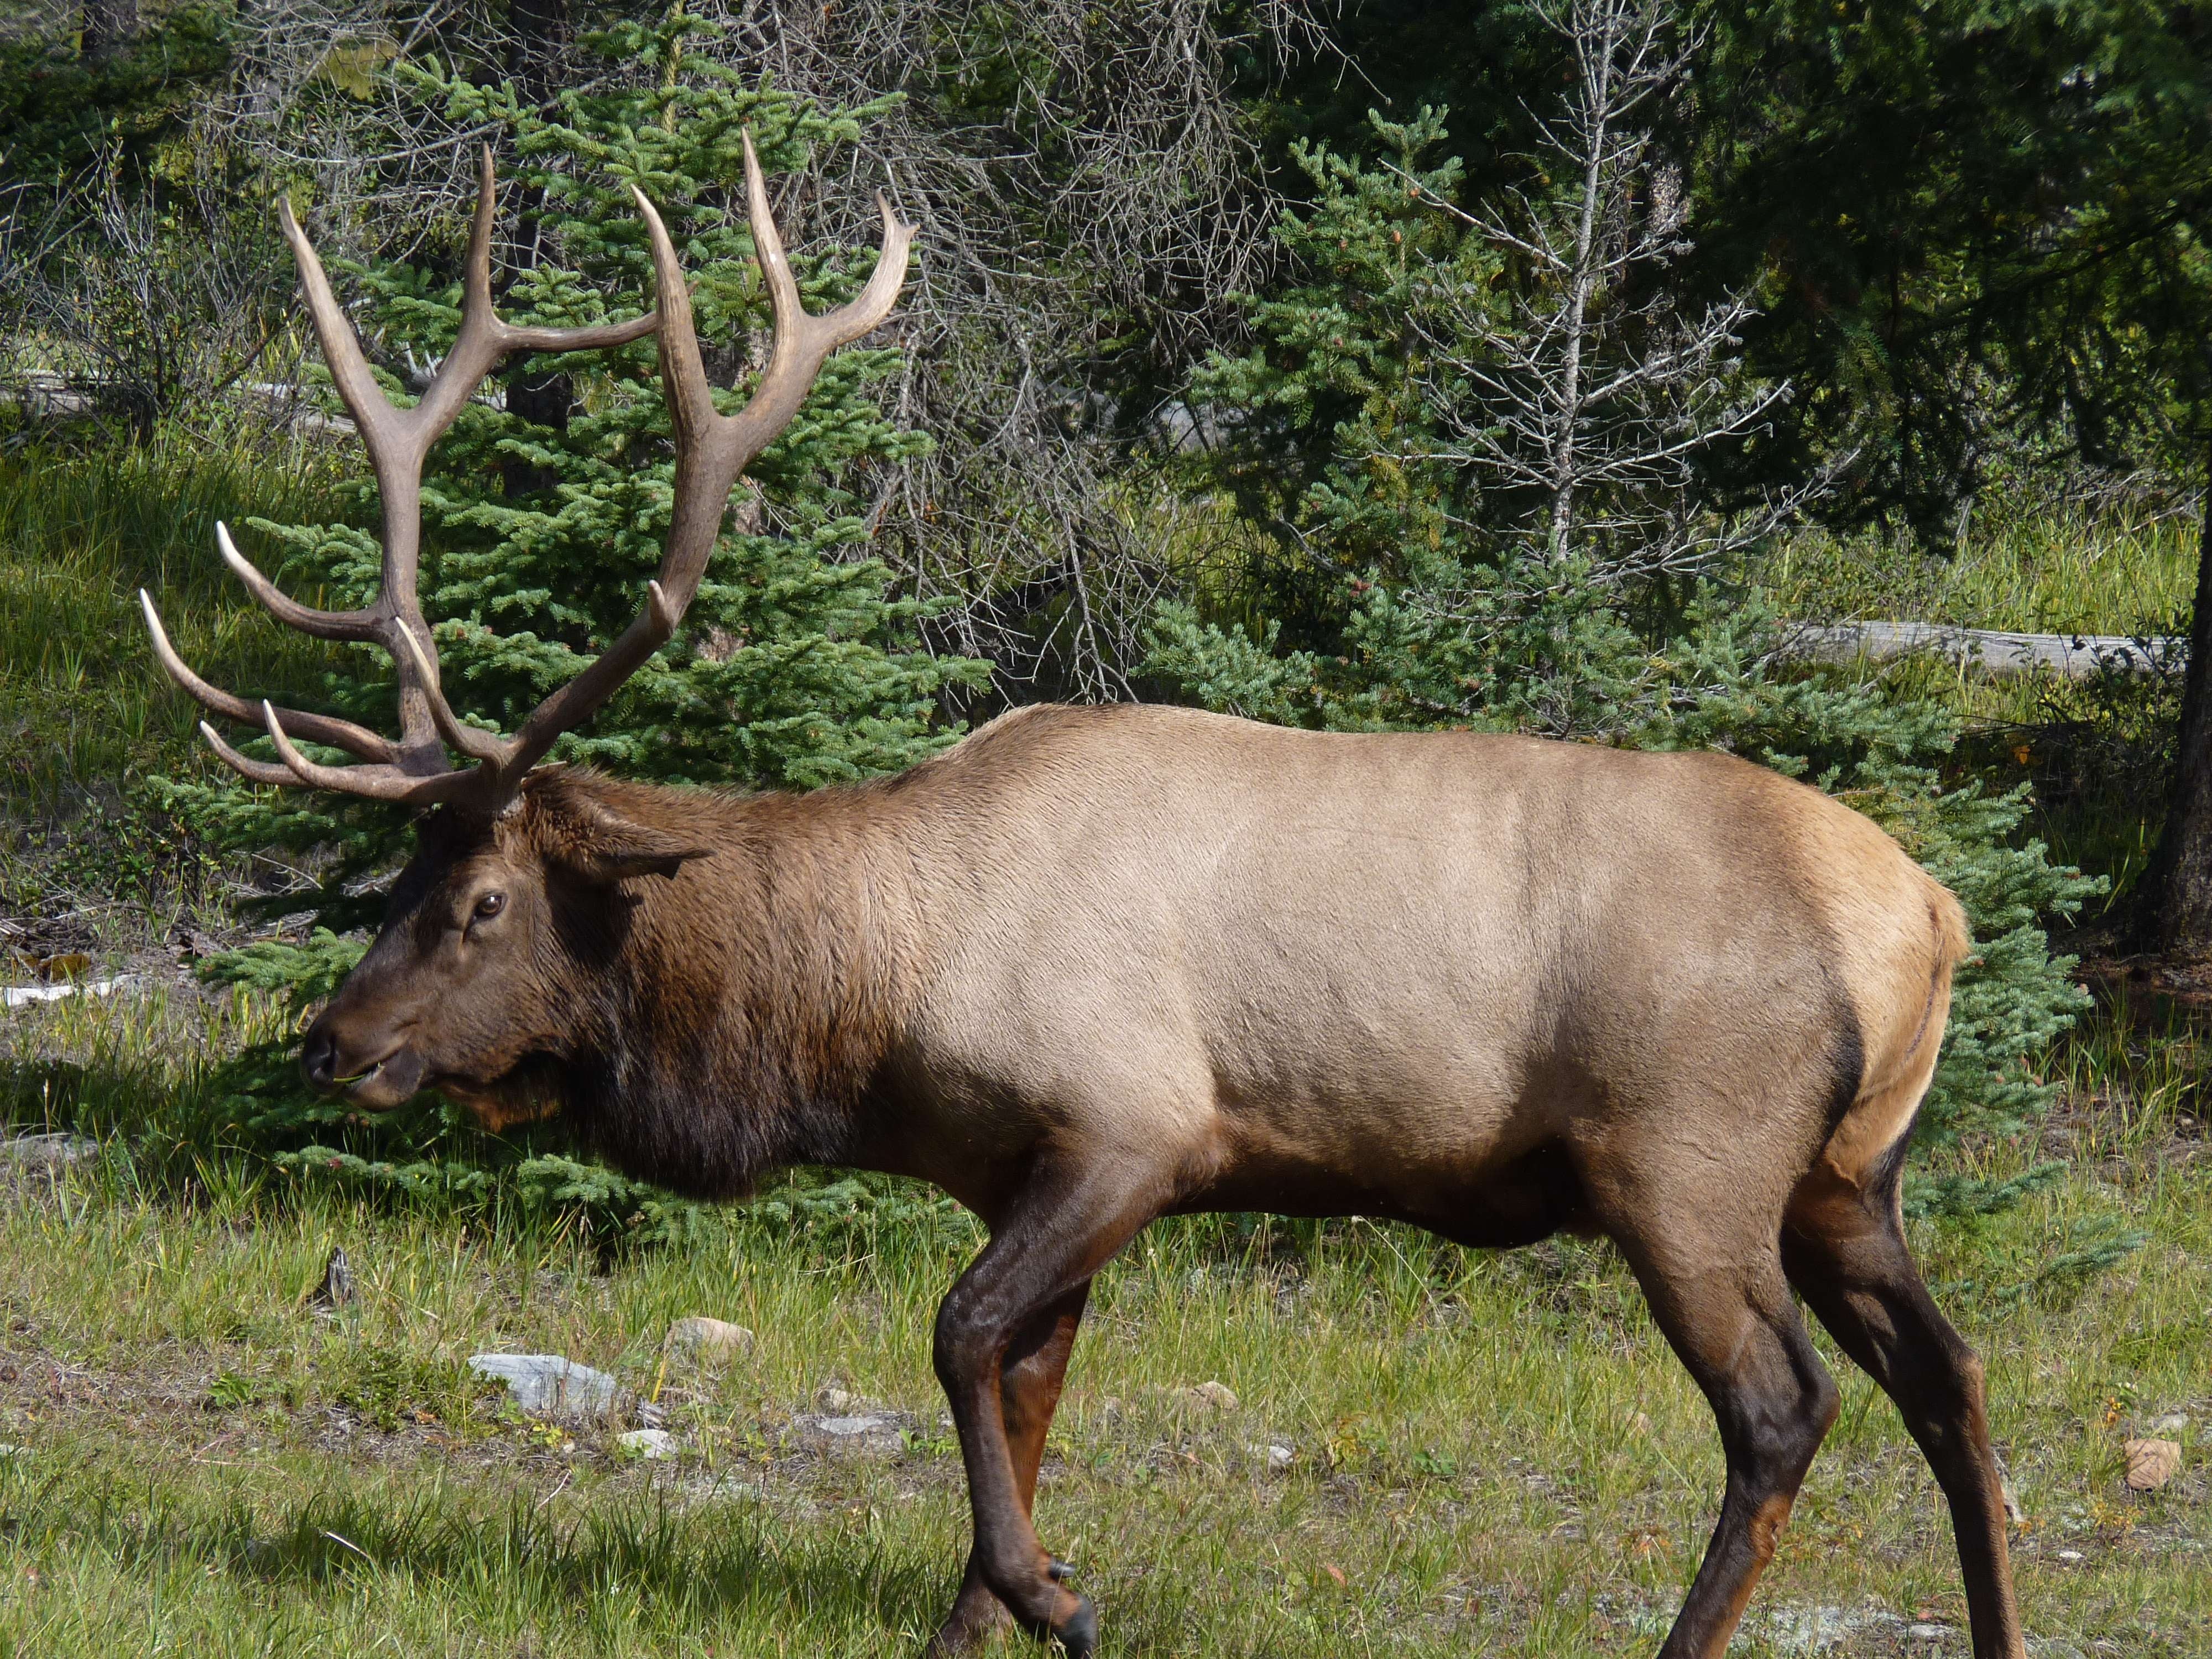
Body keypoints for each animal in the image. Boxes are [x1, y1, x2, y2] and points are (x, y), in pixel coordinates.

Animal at [143, 143, 2035, 1659]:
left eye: (479, 903)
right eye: (400, 875)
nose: (331, 1043)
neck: (870, 1000)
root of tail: (1929, 918)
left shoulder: (1135, 1124)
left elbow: (957, 1333)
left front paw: (1055, 1594)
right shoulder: (1031, 1163)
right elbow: (1022, 1383)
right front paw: (992, 1613)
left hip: (1685, 1161)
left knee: (1782, 1409)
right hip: (1846, 1175)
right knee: (1948, 1375)